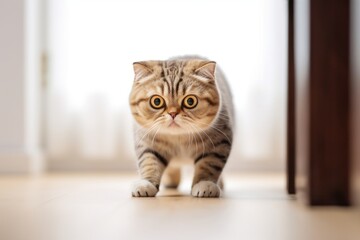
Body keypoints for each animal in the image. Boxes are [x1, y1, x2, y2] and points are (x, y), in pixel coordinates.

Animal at [129, 57, 233, 198]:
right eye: (156, 101)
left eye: (190, 101)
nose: (173, 113)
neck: (179, 138)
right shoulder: (147, 141)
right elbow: (149, 162)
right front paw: (146, 184)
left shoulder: (219, 142)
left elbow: (209, 164)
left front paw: (205, 184)